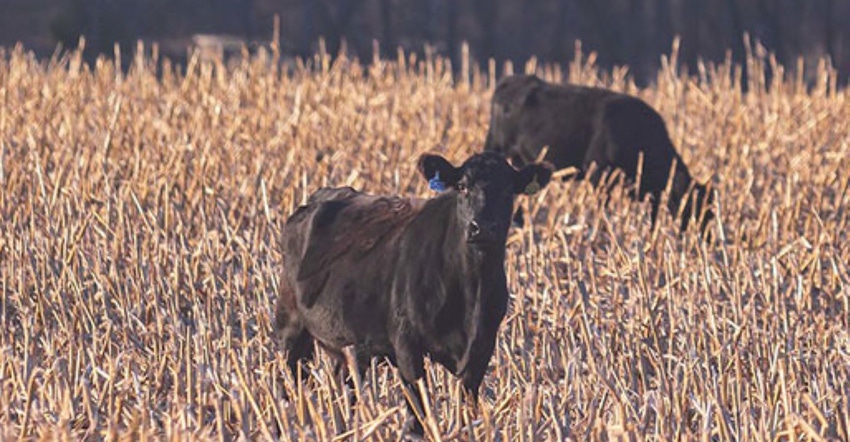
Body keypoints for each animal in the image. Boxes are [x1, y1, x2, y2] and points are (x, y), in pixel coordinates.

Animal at [272, 152, 548, 438]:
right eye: (462, 186)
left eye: (508, 190)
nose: (481, 227)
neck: (472, 292)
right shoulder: (407, 346)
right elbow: (417, 415)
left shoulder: (481, 350)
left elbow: (465, 411)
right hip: (290, 327)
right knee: (286, 383)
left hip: (344, 343)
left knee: (344, 388)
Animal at [480, 74, 712, 237]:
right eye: (691, 207)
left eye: (711, 214)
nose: (706, 241)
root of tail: (509, 81)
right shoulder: (598, 172)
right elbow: (604, 209)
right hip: (498, 147)